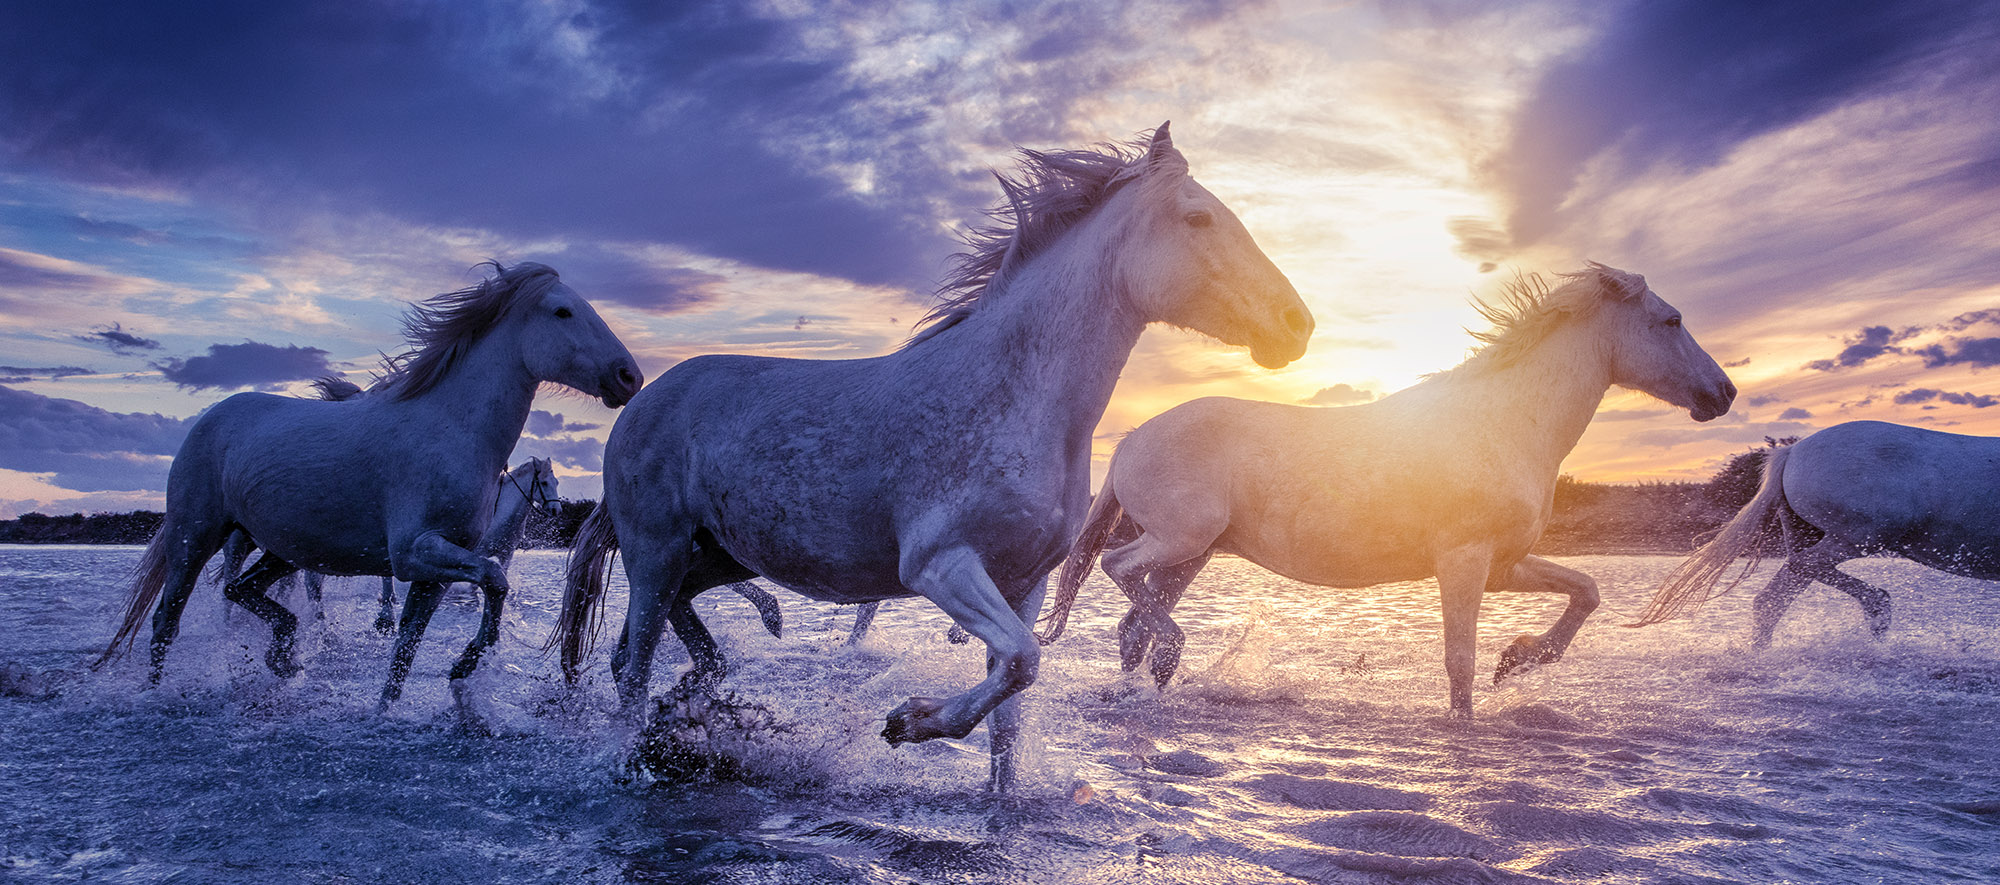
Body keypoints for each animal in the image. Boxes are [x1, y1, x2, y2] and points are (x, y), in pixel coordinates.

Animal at [96, 261, 642, 711]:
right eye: (563, 311)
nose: (628, 377)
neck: (451, 427)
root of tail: (210, 417)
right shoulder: (413, 552)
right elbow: (494, 578)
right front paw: (464, 663)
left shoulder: (435, 570)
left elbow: (408, 648)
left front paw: (394, 706)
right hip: (195, 536)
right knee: (167, 619)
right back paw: (156, 693)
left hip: (283, 547)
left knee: (239, 588)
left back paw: (284, 656)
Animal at [553, 124, 1314, 789]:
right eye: (1198, 219)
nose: (1296, 325)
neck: (1013, 397)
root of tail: (643, 399)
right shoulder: (938, 564)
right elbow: (1022, 660)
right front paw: (908, 721)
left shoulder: (1024, 583)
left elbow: (1009, 717)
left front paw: (993, 800)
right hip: (655, 550)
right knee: (632, 663)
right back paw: (639, 752)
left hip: (718, 555)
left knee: (664, 636)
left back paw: (698, 695)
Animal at [1040, 263, 1735, 715]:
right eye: (1671, 320)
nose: (1723, 394)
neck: (1507, 422)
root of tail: (1130, 440)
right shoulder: (1463, 562)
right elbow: (1459, 665)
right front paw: (1479, 702)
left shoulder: (1502, 565)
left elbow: (1586, 591)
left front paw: (1521, 658)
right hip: (1180, 538)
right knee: (1117, 569)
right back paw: (1172, 653)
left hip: (1194, 556)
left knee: (1133, 626)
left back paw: (1155, 678)